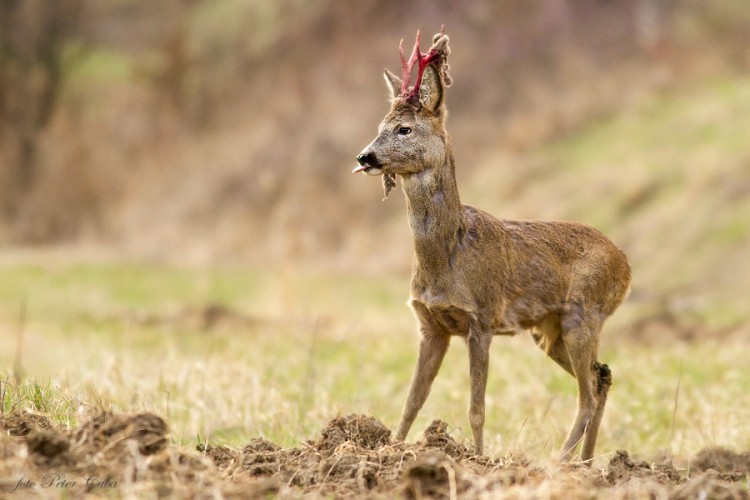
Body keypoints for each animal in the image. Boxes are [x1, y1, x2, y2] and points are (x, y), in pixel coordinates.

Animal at [356, 30, 632, 460]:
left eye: (404, 129)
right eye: (380, 125)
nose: (365, 156)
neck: (447, 256)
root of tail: (627, 266)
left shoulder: (481, 319)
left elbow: (477, 408)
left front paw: (478, 458)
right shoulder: (429, 324)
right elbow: (412, 400)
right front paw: (390, 451)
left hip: (583, 314)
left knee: (586, 395)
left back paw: (559, 462)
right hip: (550, 330)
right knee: (601, 376)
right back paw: (587, 463)